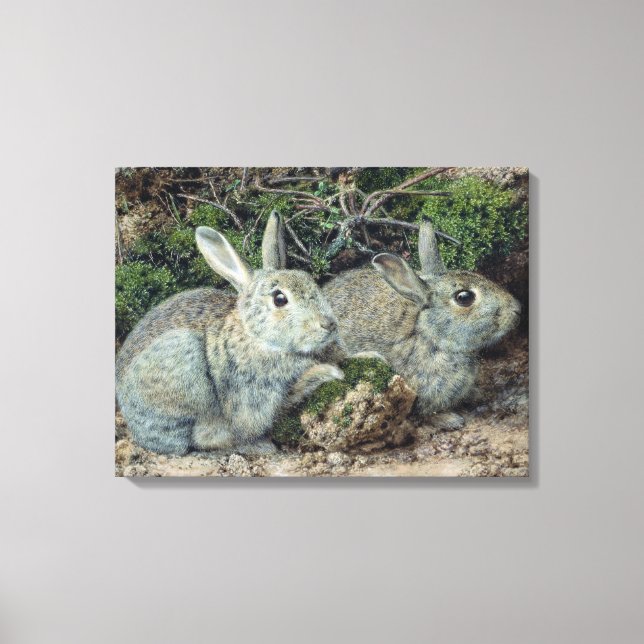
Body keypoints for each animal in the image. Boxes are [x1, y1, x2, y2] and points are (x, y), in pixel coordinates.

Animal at [116, 212, 343, 456]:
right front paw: (329, 372)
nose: (329, 324)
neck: (255, 336)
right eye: (279, 299)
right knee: (205, 438)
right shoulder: (253, 394)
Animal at [322, 221, 521, 430]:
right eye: (464, 297)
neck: (430, 336)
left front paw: (476, 394)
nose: (517, 309)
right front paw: (451, 420)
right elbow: (426, 415)